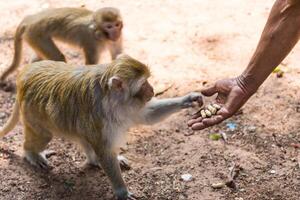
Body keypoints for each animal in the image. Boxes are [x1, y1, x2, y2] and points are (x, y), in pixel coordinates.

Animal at [0, 54, 203, 200]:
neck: (113, 98)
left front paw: (189, 99)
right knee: (44, 136)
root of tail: (24, 74)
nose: (152, 89)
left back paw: (93, 160)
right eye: (143, 83)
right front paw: (122, 192)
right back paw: (31, 153)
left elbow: (148, 116)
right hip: (33, 112)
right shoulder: (100, 113)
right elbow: (105, 150)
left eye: (148, 80)